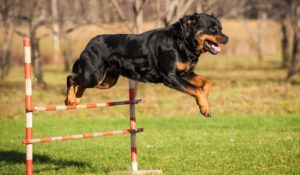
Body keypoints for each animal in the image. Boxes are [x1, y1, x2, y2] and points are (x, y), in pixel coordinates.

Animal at [65, 13, 227, 117]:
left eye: (221, 28)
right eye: (212, 29)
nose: (227, 38)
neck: (182, 41)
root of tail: (88, 45)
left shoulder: (185, 73)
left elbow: (206, 82)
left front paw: (204, 101)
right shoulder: (171, 77)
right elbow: (196, 89)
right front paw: (204, 107)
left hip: (106, 81)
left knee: (80, 82)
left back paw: (76, 100)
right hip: (93, 75)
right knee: (71, 78)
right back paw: (70, 99)